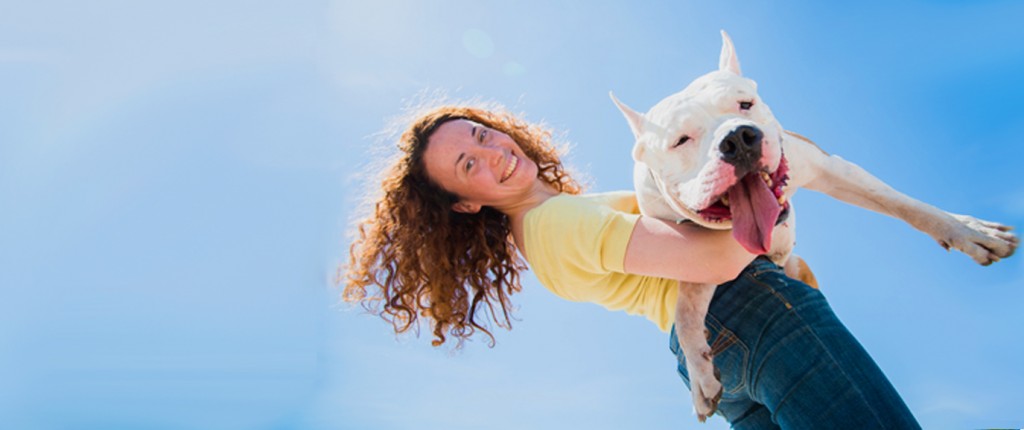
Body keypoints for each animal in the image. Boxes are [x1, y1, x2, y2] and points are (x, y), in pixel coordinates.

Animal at [606, 31, 1015, 421]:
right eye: (681, 140)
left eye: (744, 104)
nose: (737, 138)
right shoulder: (696, 254)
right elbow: (687, 311)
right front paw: (700, 377)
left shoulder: (830, 167)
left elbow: (904, 204)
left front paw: (970, 232)